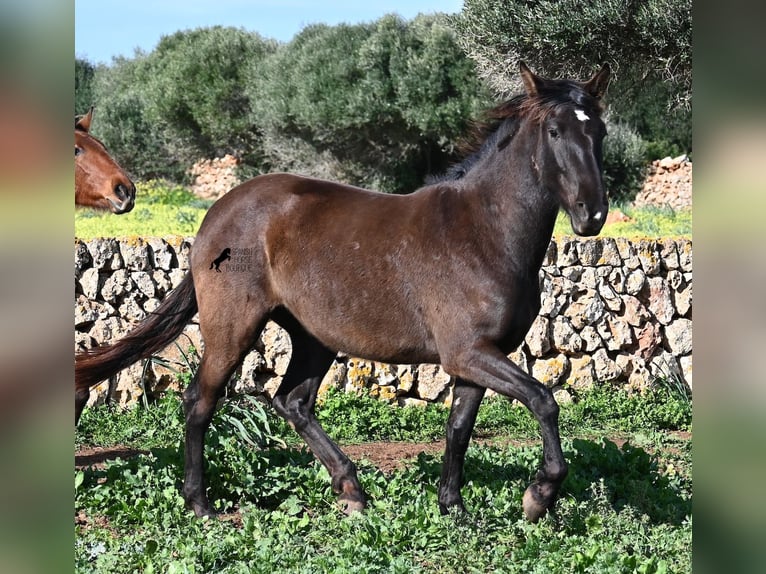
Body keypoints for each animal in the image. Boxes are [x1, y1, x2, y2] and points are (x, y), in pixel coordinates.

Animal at [73, 60, 612, 524]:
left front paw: (453, 508)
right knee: (200, 401)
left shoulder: (477, 357)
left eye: (599, 133)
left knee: (292, 402)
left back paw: (352, 491)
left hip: (313, 337)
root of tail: (215, 216)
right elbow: (544, 400)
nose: (593, 215)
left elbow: (459, 430)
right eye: (556, 131)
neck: (483, 231)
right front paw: (538, 496)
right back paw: (201, 504)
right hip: (233, 328)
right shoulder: (468, 353)